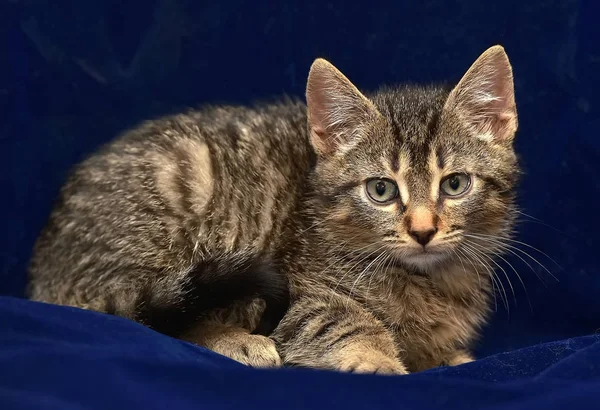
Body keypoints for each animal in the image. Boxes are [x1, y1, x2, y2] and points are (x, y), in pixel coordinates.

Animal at [28, 45, 516, 374]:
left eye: (454, 184)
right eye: (380, 190)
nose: (422, 229)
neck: (429, 279)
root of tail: (46, 264)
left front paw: (447, 357)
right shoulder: (297, 290)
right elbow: (341, 319)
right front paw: (379, 359)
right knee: (145, 315)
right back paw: (237, 341)